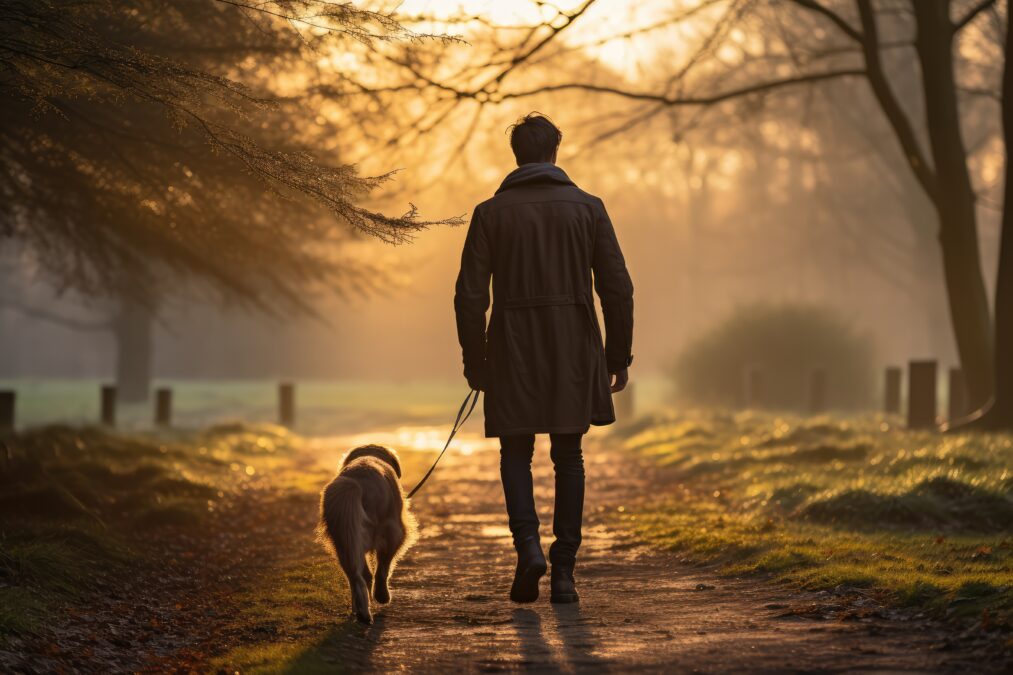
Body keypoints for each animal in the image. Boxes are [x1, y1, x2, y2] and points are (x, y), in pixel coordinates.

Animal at [314, 443, 413, 624]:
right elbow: (383, 568)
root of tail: (355, 483)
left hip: (345, 542)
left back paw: (361, 610)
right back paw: (371, 605)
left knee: (356, 576)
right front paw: (382, 596)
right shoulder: (395, 533)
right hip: (387, 532)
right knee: (371, 571)